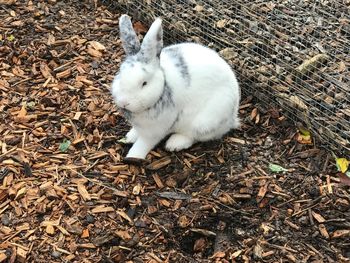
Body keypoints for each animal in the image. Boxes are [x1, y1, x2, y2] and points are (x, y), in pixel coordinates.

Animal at [112, 15, 241, 160]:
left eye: (144, 83)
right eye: (120, 74)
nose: (124, 102)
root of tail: (232, 118)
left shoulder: (154, 131)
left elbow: (143, 144)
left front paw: (133, 156)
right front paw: (130, 136)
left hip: (204, 122)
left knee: (194, 136)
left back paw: (175, 143)